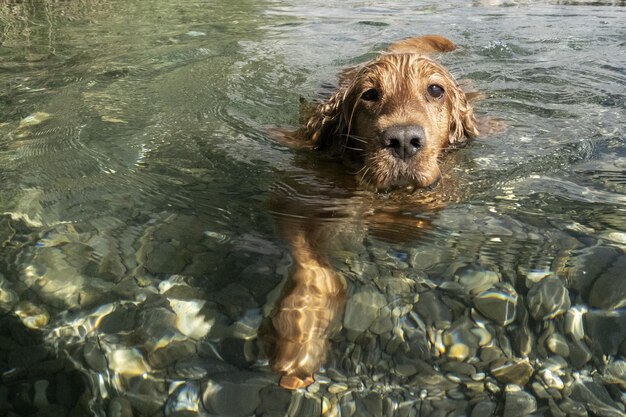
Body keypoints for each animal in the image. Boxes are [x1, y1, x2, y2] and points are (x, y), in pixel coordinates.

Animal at [260, 34, 480, 388]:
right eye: (370, 94)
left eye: (435, 90)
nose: (402, 139)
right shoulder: (293, 197)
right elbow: (315, 269)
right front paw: (299, 339)